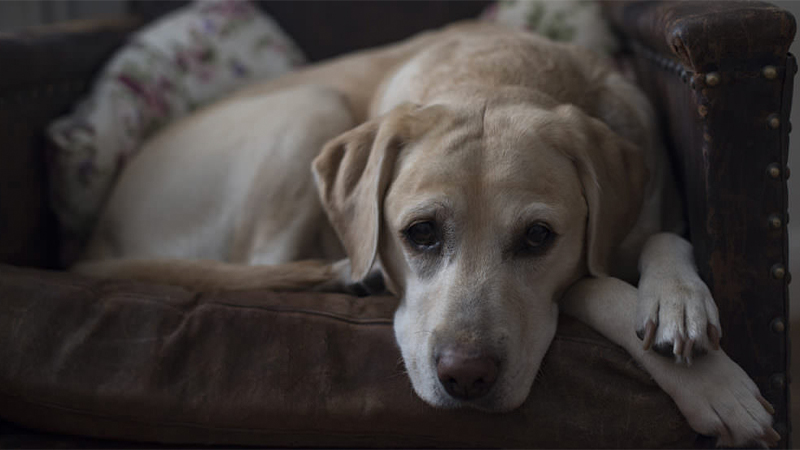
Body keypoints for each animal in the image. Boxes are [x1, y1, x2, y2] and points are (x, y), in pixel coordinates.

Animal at [73, 22, 776, 446]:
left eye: (537, 237)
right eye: (421, 234)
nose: (466, 377)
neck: (498, 75)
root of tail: (95, 237)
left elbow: (663, 241)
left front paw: (679, 304)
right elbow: (596, 287)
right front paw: (716, 387)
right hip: (314, 107)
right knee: (268, 264)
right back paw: (346, 280)